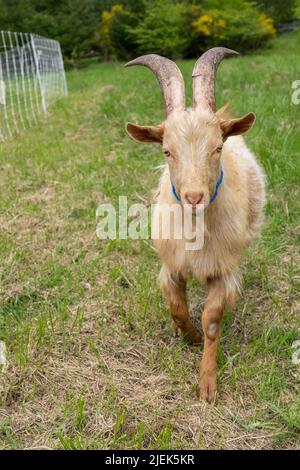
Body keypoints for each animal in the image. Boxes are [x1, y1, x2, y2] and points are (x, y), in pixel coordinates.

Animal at [124, 48, 264, 404]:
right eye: (166, 150)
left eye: (217, 147)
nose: (194, 198)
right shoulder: (172, 265)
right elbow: (176, 308)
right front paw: (190, 337)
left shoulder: (223, 270)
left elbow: (212, 320)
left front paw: (207, 384)